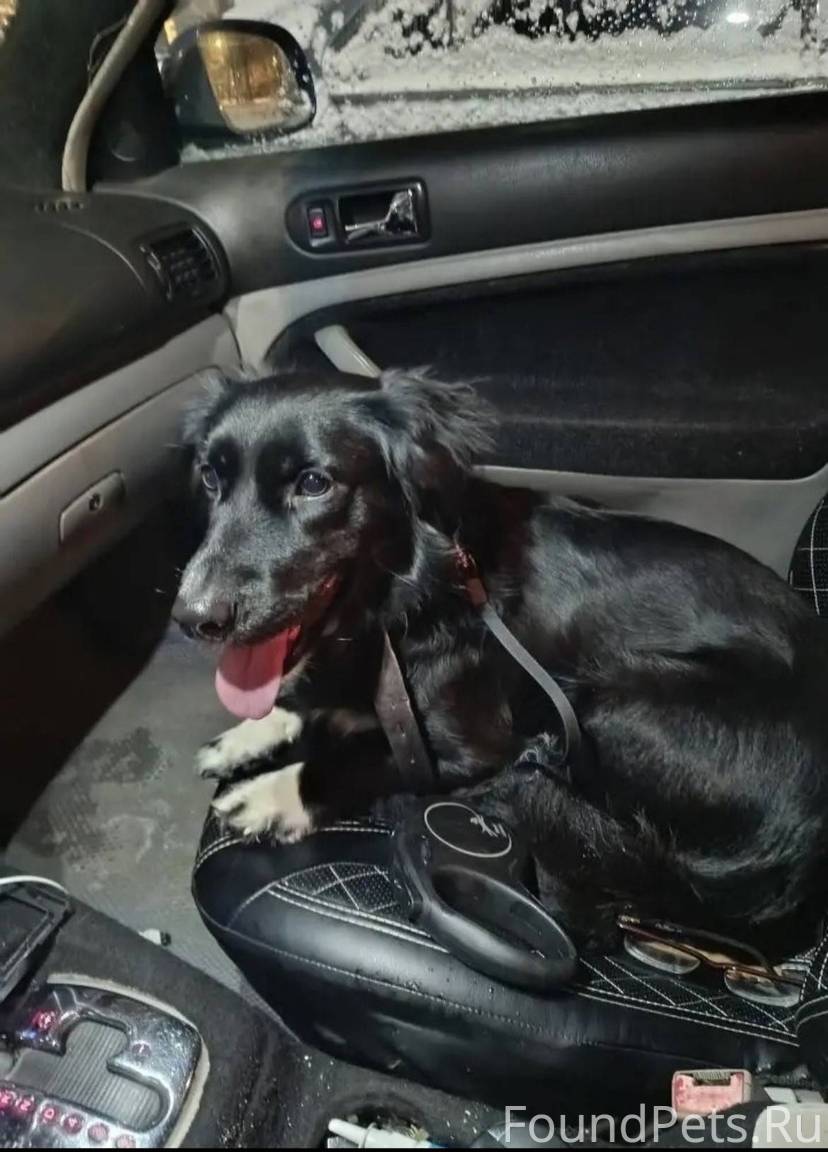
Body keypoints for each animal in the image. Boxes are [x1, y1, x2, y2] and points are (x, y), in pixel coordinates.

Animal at [173, 367, 828, 954]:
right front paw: (250, 732)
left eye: (313, 483)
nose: (191, 618)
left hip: (616, 705)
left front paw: (272, 795)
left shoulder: (468, 747)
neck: (413, 590)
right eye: (210, 477)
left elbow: (363, 760)